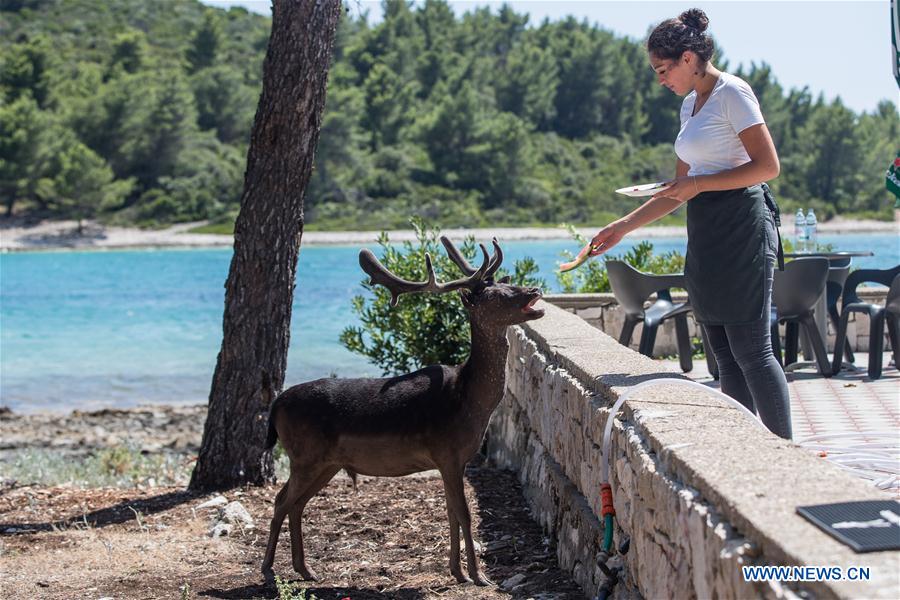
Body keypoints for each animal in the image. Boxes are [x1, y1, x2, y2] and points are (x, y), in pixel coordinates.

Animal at [261, 236, 544, 587]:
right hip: (305, 455)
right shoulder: (447, 452)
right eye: (493, 296)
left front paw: (458, 572)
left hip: (325, 462)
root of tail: (275, 406)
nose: (534, 290)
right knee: (281, 501)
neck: (470, 402)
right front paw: (479, 577)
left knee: (296, 503)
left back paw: (305, 569)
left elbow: (451, 512)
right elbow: (464, 514)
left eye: (508, 283)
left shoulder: (455, 460)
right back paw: (269, 569)